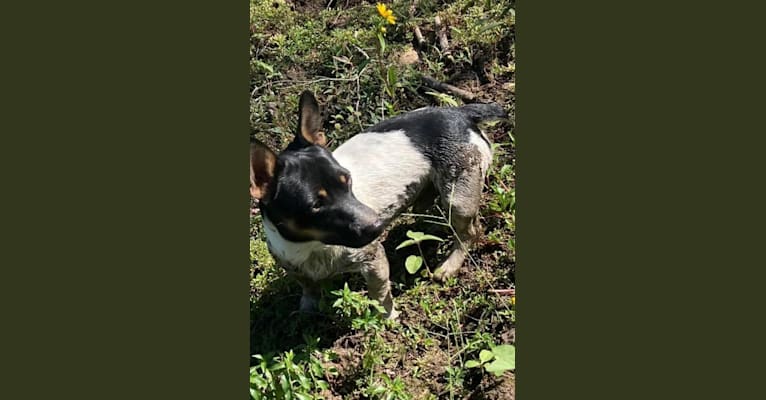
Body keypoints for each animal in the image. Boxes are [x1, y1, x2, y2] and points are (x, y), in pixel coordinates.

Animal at [249, 90, 508, 318]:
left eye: (348, 180)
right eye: (315, 205)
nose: (378, 226)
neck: (311, 246)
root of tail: (461, 113)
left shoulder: (374, 262)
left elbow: (379, 292)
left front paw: (388, 318)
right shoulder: (293, 265)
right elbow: (308, 287)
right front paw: (307, 309)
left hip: (458, 198)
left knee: (470, 231)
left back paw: (449, 265)